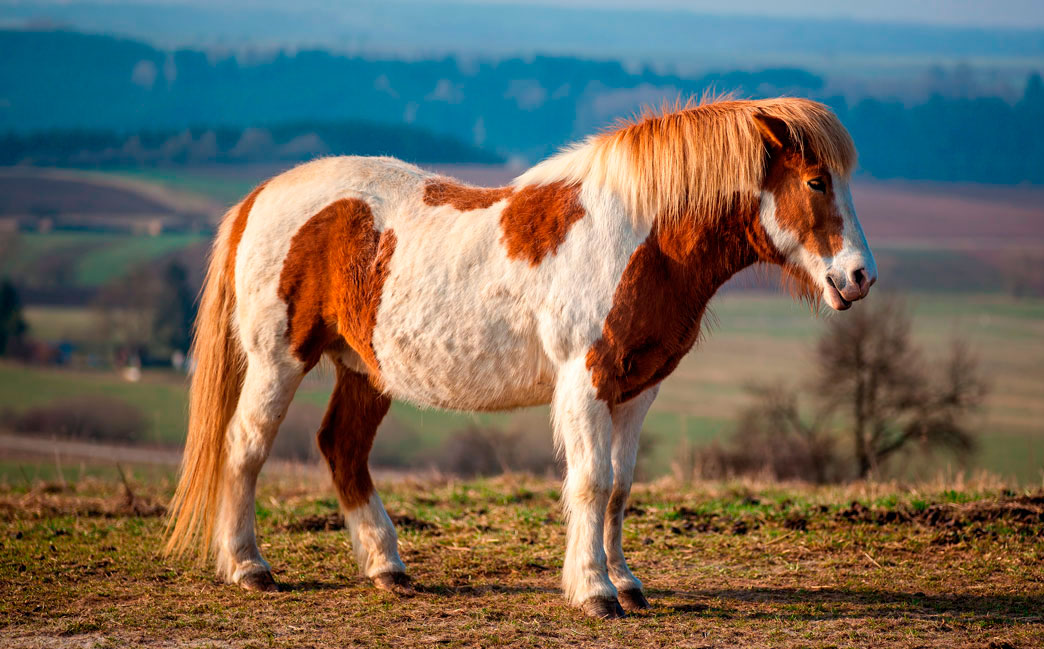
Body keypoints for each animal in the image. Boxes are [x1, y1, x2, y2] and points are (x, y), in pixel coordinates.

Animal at [167, 95, 876, 621]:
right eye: (816, 181)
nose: (859, 277)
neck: (637, 238)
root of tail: (261, 194)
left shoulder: (638, 390)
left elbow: (621, 488)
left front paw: (628, 585)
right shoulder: (588, 382)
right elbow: (591, 483)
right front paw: (594, 592)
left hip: (363, 369)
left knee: (343, 449)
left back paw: (387, 568)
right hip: (278, 361)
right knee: (245, 446)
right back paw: (249, 567)